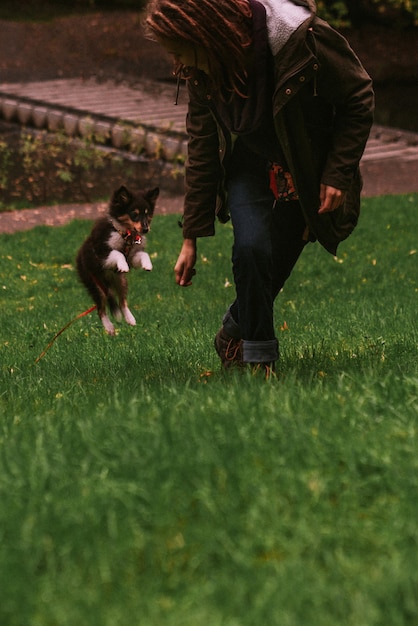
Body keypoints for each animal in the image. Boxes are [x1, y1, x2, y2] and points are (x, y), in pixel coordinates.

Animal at [76, 184, 159, 334]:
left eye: (147, 213)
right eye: (134, 214)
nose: (146, 229)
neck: (125, 234)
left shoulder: (132, 256)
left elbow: (143, 254)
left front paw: (147, 265)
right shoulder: (102, 253)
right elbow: (117, 253)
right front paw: (123, 265)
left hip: (121, 281)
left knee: (122, 302)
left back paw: (130, 319)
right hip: (95, 285)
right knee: (101, 309)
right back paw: (109, 328)